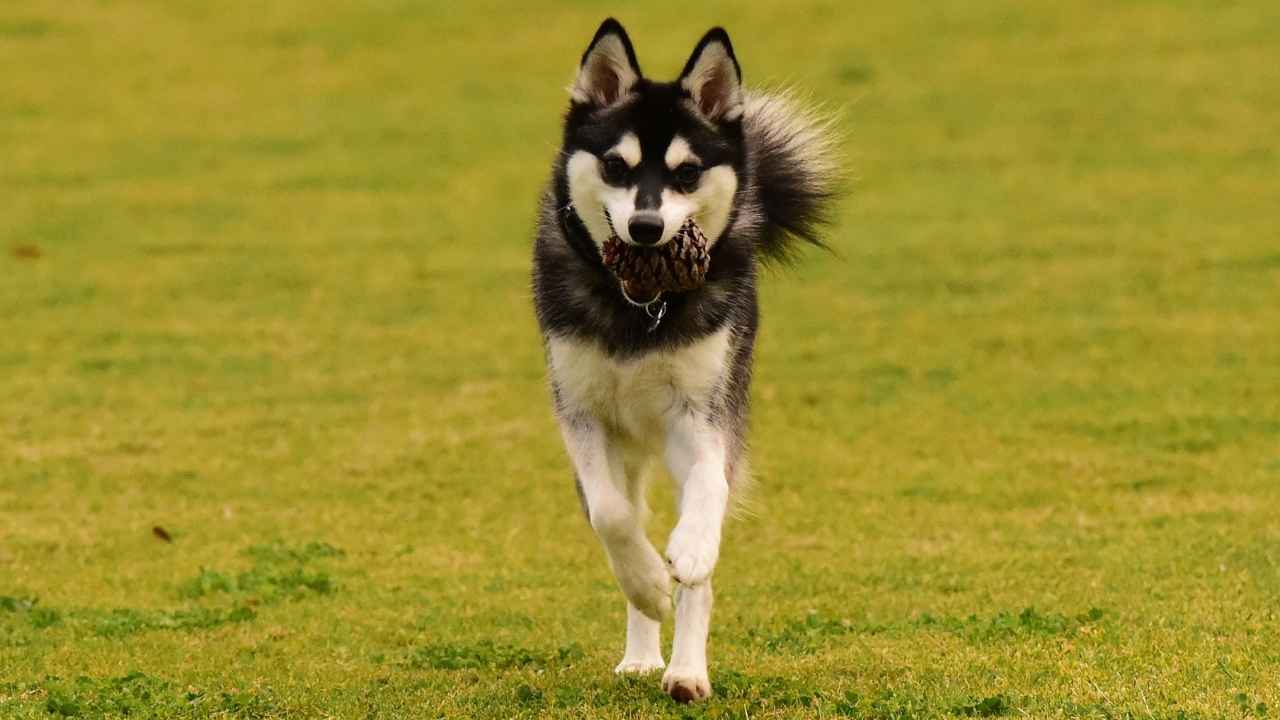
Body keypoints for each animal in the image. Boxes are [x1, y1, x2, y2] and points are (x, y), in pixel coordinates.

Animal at [532, 18, 839, 702]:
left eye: (689, 172)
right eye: (616, 166)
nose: (647, 227)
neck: (641, 307)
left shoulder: (702, 416)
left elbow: (707, 496)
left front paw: (690, 553)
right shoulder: (580, 415)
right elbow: (612, 516)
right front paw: (649, 585)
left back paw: (686, 671)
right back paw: (644, 647)